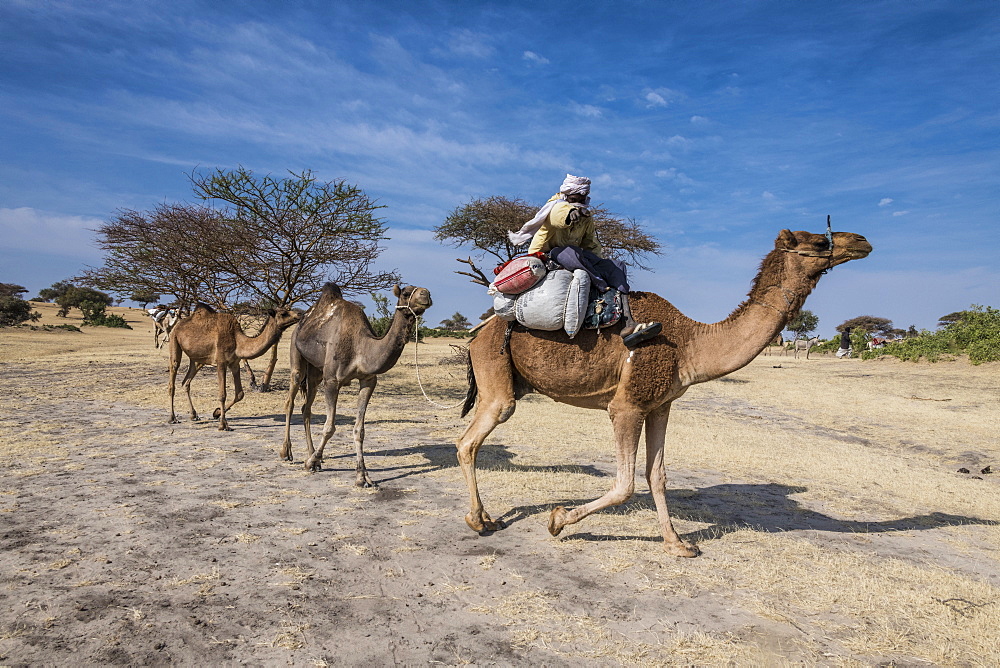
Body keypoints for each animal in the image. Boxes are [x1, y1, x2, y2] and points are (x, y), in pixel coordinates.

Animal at [284, 282, 436, 486]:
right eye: (405, 293)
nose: (425, 294)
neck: (361, 348)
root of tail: (303, 320)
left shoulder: (368, 380)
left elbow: (359, 430)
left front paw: (362, 476)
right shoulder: (332, 381)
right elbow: (329, 427)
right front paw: (310, 463)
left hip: (316, 371)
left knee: (306, 408)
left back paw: (312, 454)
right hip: (296, 351)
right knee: (291, 399)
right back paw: (287, 452)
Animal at [458, 230, 872, 560]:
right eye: (818, 242)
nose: (862, 241)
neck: (690, 343)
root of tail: (477, 335)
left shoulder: (660, 405)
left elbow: (656, 475)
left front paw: (678, 544)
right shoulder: (627, 406)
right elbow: (625, 484)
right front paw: (559, 520)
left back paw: (486, 517)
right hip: (497, 377)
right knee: (469, 441)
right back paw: (479, 521)